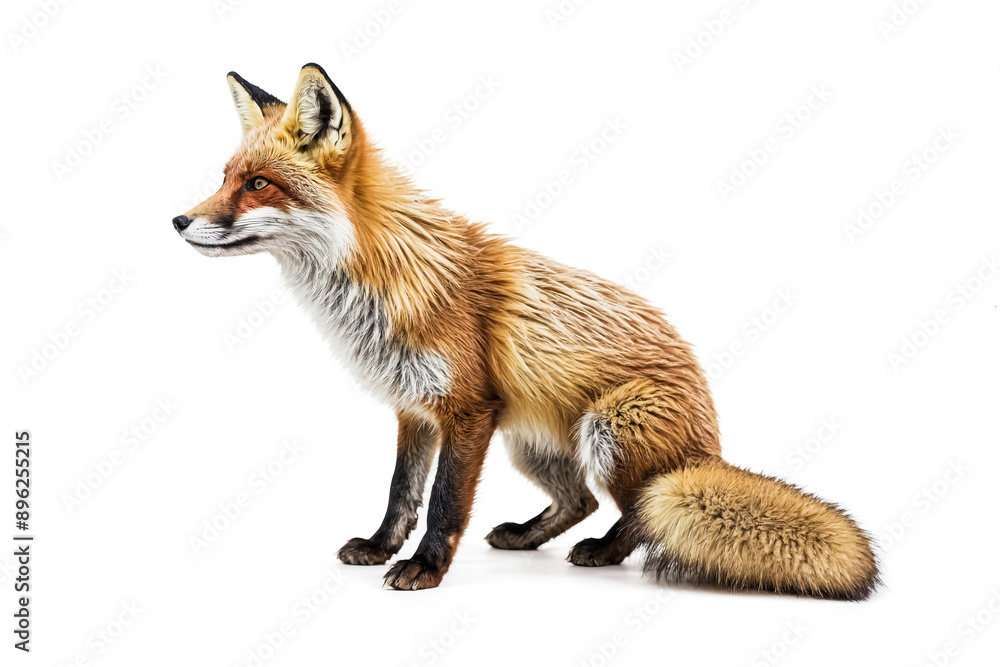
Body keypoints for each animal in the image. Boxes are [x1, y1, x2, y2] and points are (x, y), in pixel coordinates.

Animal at [173, 63, 879, 598]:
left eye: (258, 184)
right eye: (224, 178)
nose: (178, 220)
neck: (387, 276)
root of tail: (708, 443)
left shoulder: (467, 410)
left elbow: (444, 502)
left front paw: (424, 568)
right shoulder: (413, 409)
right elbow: (402, 492)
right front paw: (379, 547)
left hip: (608, 429)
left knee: (643, 512)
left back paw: (602, 552)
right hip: (530, 444)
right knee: (583, 501)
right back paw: (525, 536)